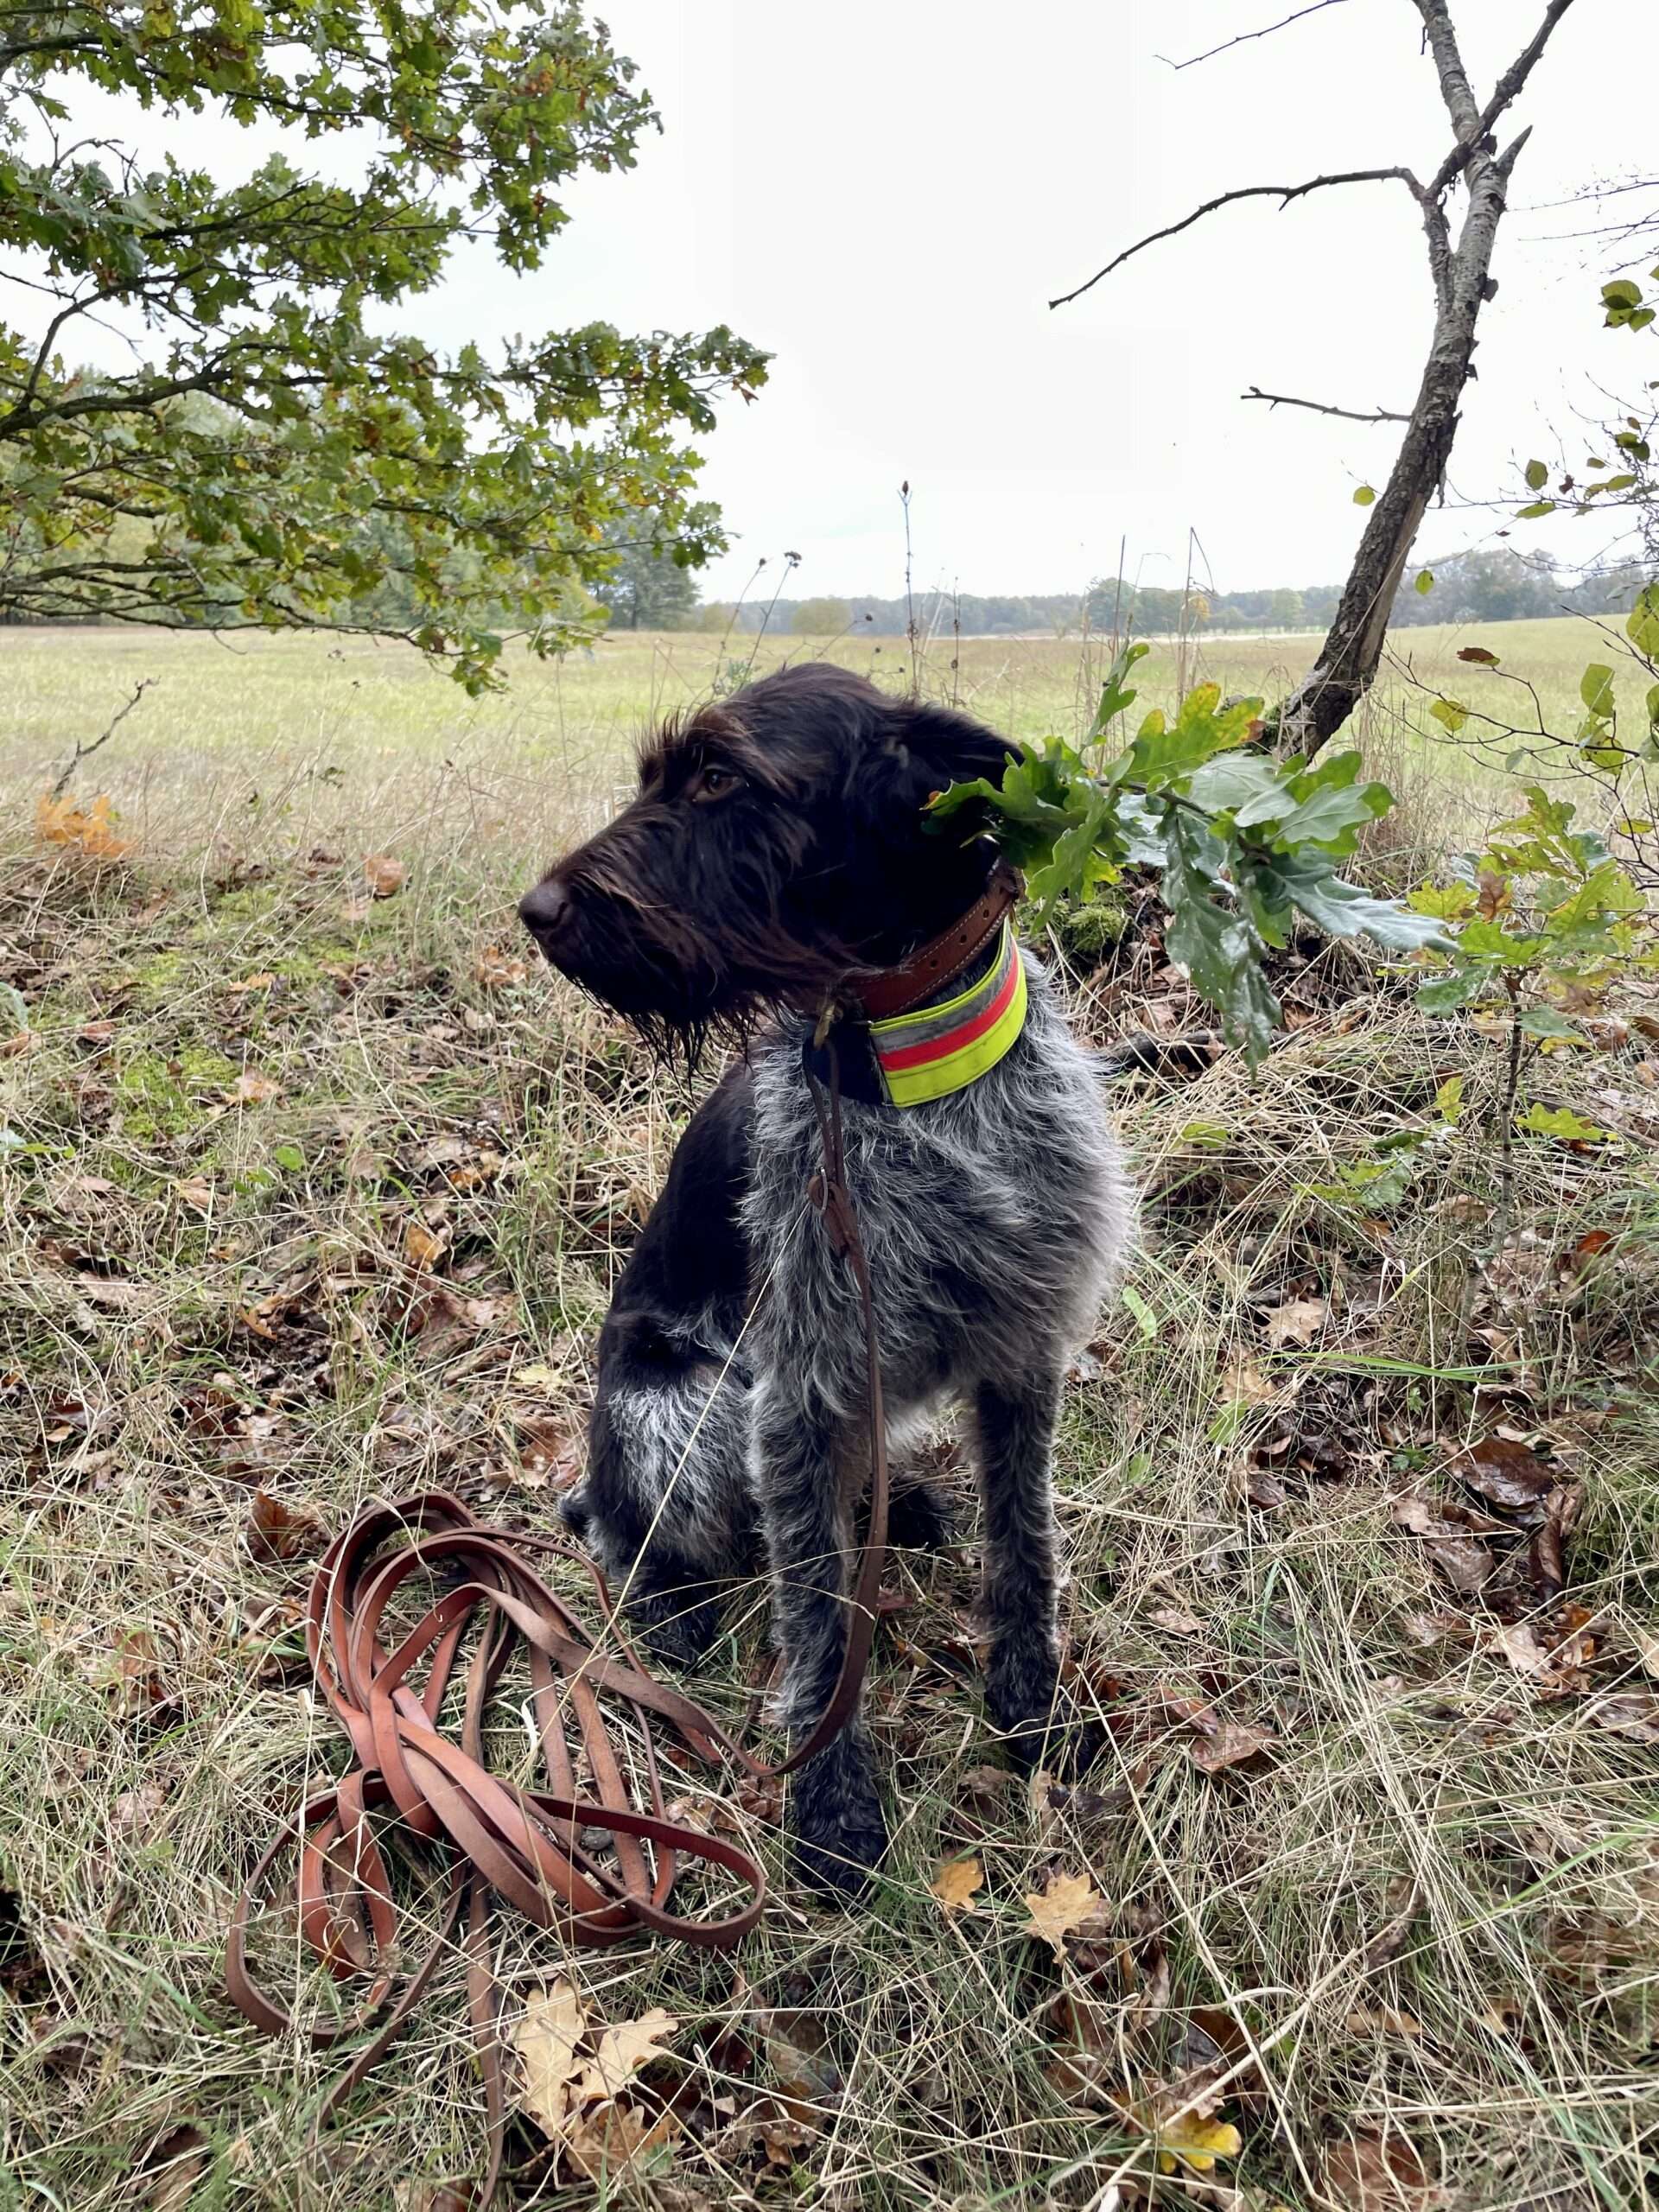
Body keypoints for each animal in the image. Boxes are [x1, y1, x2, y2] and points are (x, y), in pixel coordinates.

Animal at [522, 664, 1141, 1893]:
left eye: (720, 777)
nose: (537, 908)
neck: (911, 1069)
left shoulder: (1024, 1353)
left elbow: (1026, 1542)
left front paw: (1030, 1700)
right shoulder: (796, 1397)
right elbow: (815, 1613)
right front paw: (834, 1801)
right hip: (692, 1407)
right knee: (632, 1531)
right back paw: (668, 1612)